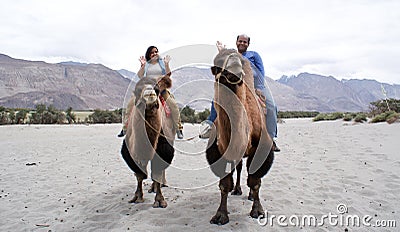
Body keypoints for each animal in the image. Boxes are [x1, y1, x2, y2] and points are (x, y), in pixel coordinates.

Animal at [119, 73, 174, 208]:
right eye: (137, 90)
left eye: (157, 89)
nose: (150, 93)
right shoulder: (130, 152)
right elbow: (139, 174)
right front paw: (137, 197)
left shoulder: (164, 149)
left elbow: (157, 171)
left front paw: (160, 200)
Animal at [206, 49, 276, 225]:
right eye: (219, 62)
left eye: (239, 60)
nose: (235, 69)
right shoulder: (218, 151)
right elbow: (224, 184)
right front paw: (220, 215)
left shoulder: (262, 148)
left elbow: (255, 181)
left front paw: (257, 211)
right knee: (237, 167)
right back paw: (236, 189)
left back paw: (249, 195)